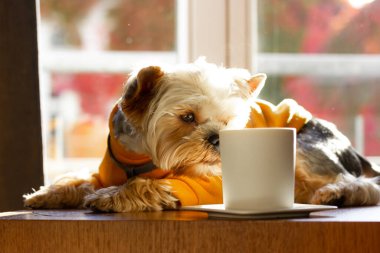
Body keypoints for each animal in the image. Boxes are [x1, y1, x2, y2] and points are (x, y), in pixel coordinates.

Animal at [23, 59, 380, 211]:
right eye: (187, 117)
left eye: (228, 121)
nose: (217, 138)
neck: (137, 157)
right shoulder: (106, 168)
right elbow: (79, 179)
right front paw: (48, 194)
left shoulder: (205, 182)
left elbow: (146, 185)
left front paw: (110, 197)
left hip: (309, 147)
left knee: (361, 184)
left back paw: (338, 194)